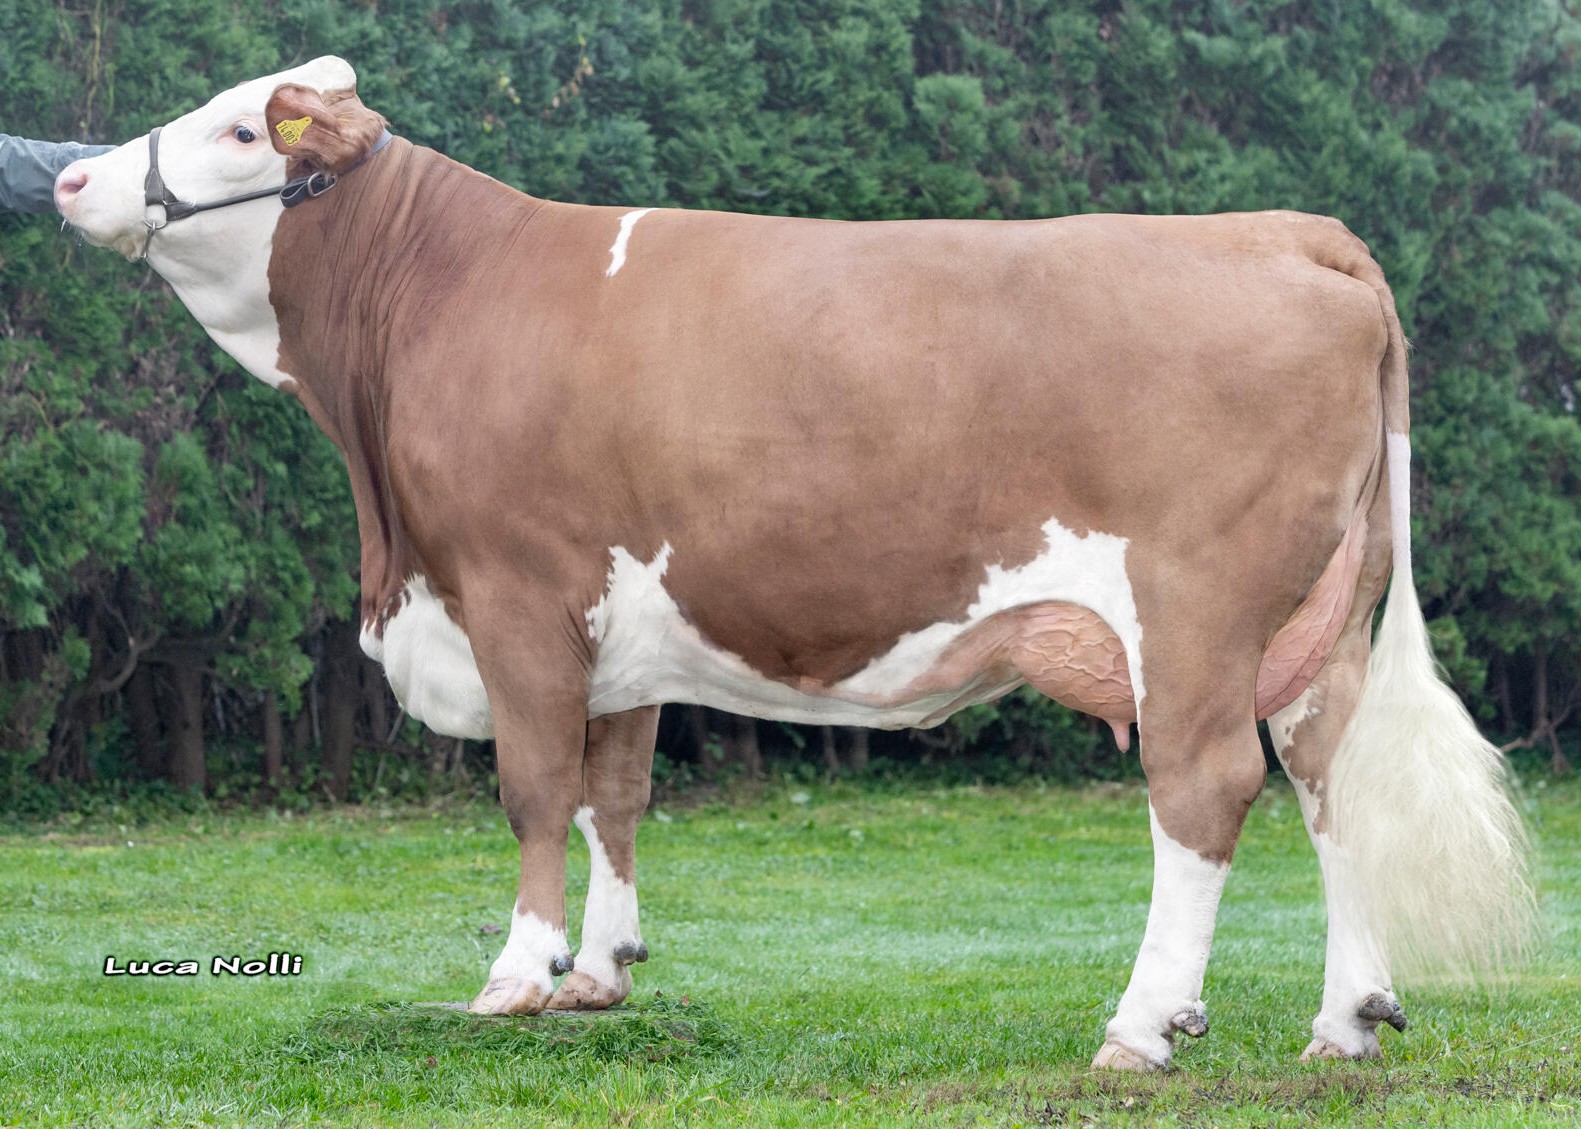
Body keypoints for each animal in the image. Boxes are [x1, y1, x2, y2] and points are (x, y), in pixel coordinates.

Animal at [55, 56, 1531, 1071]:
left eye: (243, 127)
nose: (69, 178)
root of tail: (1276, 226)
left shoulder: (518, 590)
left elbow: (535, 790)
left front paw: (516, 977)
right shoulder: (617, 628)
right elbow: (614, 794)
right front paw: (602, 972)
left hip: (1198, 610)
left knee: (1208, 788)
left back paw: (1142, 1025)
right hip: (1315, 618)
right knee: (1331, 777)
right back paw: (1346, 1018)